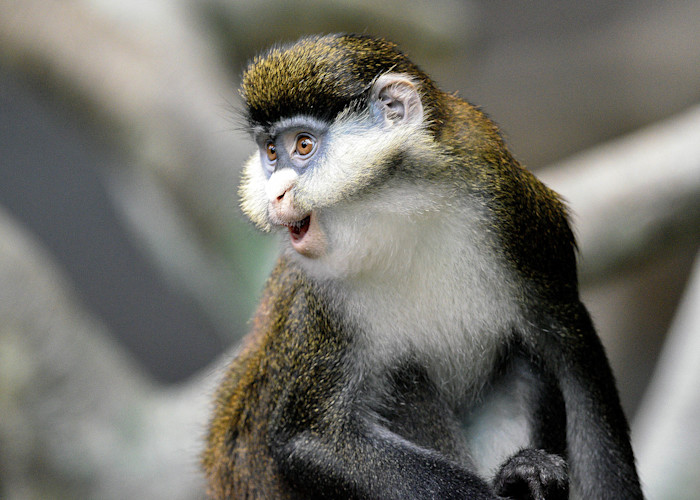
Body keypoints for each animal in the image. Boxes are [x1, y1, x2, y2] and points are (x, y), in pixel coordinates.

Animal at [203, 34, 643, 499]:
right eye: (271, 152)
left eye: (303, 145)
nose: (275, 193)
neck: (397, 207)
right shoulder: (322, 299)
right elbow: (315, 438)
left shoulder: (517, 208)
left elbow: (574, 361)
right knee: (402, 378)